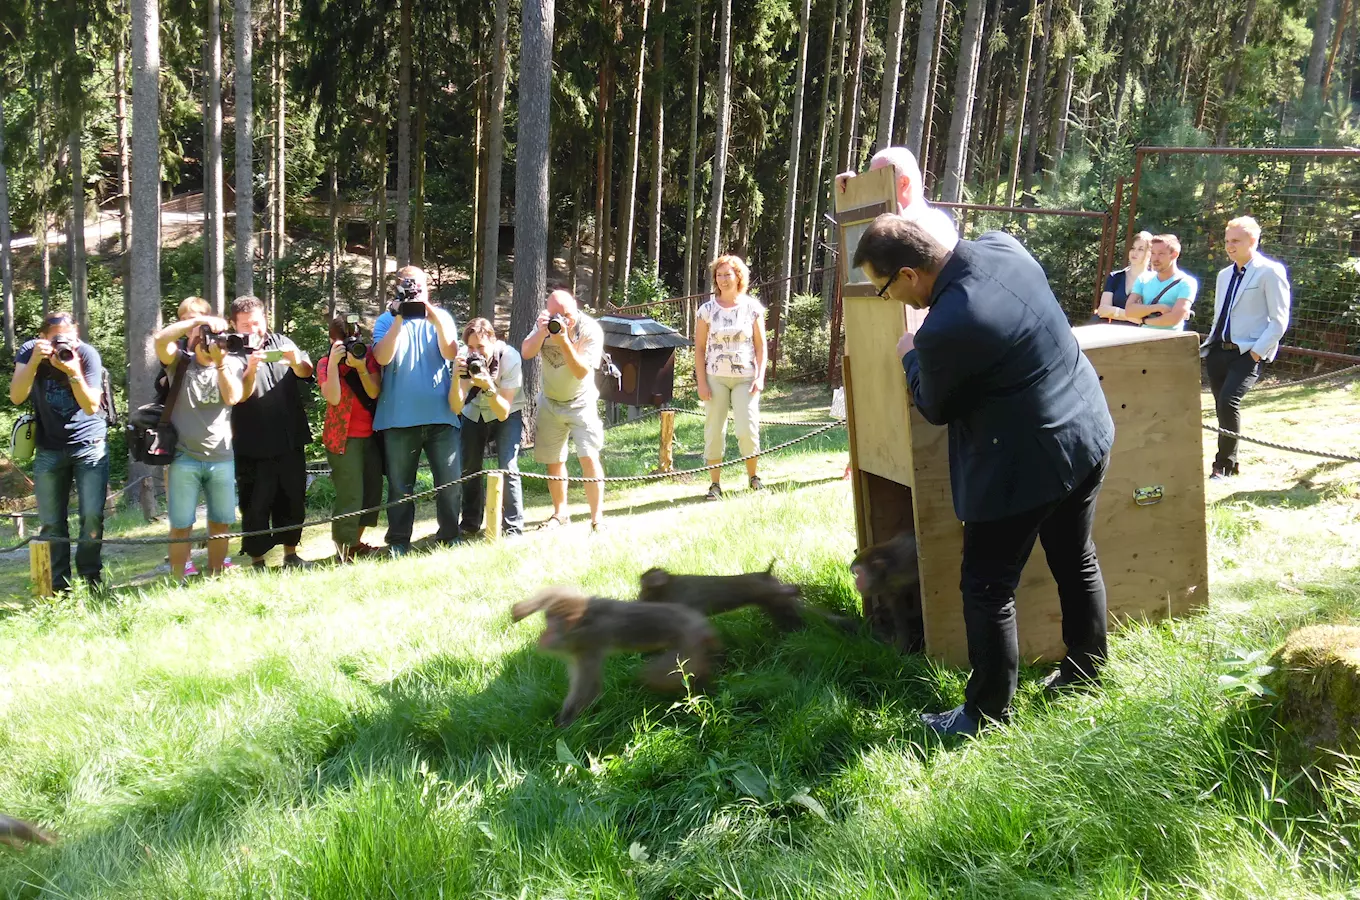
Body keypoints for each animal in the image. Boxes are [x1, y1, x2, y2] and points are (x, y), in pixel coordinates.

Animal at [511, 590, 723, 728]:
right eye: (548, 622)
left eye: (552, 629)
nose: (543, 638)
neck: (584, 623)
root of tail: (700, 624)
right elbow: (556, 592)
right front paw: (521, 609)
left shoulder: (589, 649)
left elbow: (589, 690)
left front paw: (565, 725)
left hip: (686, 645)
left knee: (656, 675)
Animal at [631, 565, 854, 633]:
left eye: (645, 584)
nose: (639, 596)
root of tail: (767, 574)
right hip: (774, 602)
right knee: (791, 613)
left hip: (769, 592)